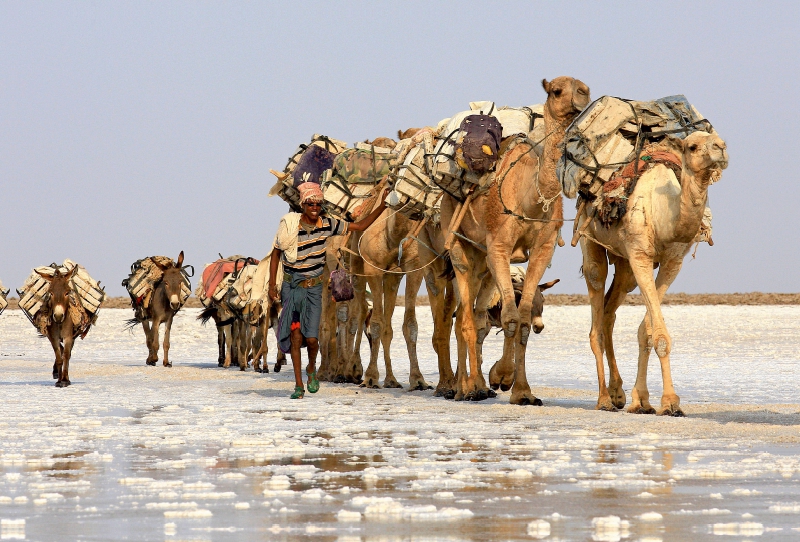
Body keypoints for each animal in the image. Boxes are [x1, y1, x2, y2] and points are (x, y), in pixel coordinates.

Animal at [440, 75, 592, 404]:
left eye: (585, 88)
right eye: (556, 91)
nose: (582, 97)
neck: (532, 198)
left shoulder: (542, 250)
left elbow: (522, 318)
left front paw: (522, 391)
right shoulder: (499, 245)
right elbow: (509, 316)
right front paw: (503, 376)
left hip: (482, 260)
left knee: (475, 316)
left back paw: (476, 385)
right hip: (457, 243)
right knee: (463, 318)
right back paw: (465, 389)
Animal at [572, 131, 728, 416]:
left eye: (719, 139)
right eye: (692, 146)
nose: (720, 148)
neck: (664, 215)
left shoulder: (672, 262)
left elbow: (647, 330)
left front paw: (643, 400)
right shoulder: (640, 255)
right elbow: (660, 335)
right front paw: (670, 402)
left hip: (624, 265)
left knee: (610, 311)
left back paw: (618, 392)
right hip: (590, 238)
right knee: (596, 296)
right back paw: (604, 399)